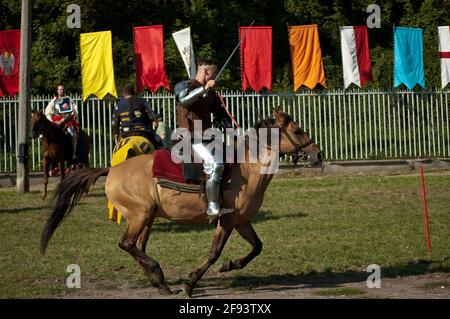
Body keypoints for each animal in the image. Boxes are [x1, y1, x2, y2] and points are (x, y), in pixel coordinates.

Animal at [40, 110, 322, 298]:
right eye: (297, 131)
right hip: (140, 215)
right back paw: (159, 275)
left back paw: (159, 283)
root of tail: (112, 170)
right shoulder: (227, 220)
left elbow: (257, 247)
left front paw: (230, 265)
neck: (246, 167)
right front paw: (191, 282)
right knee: (127, 244)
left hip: (147, 218)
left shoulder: (241, 221)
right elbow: (213, 253)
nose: (317, 153)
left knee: (137, 246)